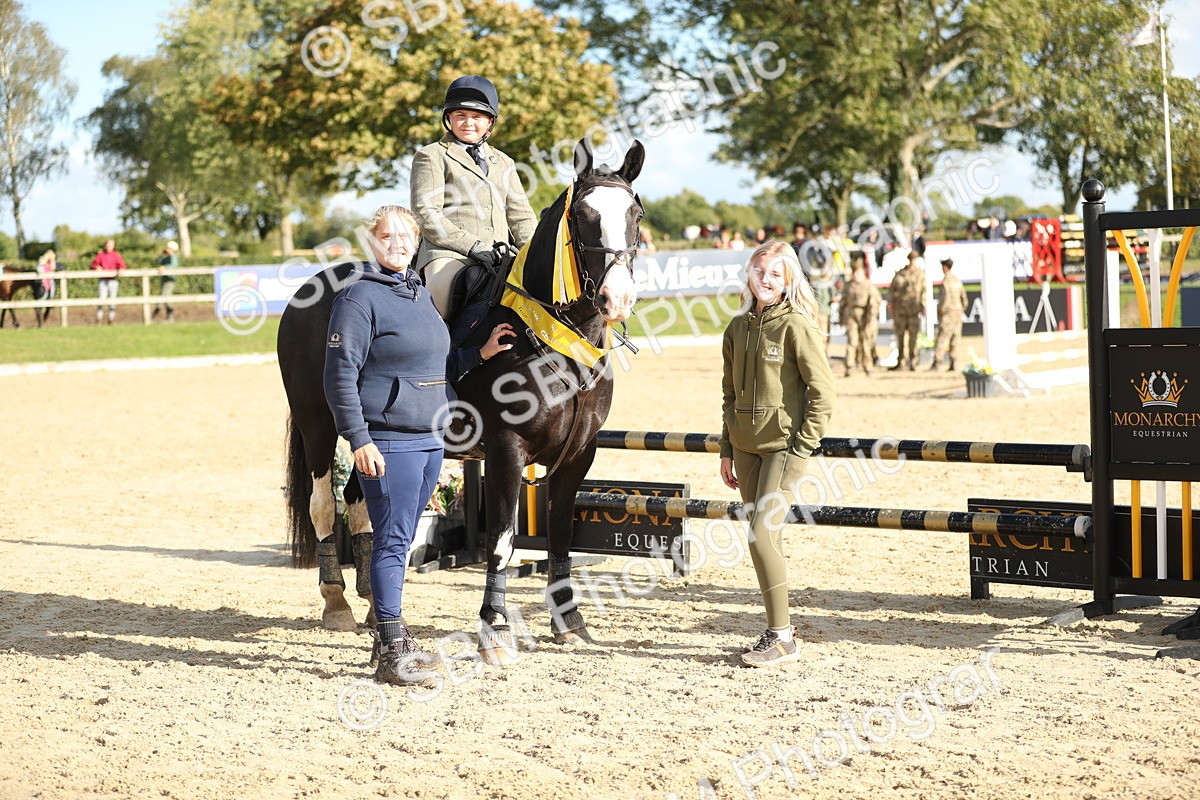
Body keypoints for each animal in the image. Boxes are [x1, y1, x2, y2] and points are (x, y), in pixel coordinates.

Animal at [277, 138, 645, 663]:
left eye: (635, 214)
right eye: (582, 217)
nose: (618, 298)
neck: (559, 341)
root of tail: (309, 289)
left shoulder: (579, 454)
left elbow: (559, 535)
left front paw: (569, 622)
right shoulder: (508, 450)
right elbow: (501, 543)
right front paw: (495, 630)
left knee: (359, 502)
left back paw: (370, 605)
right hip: (319, 426)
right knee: (324, 505)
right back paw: (338, 604)